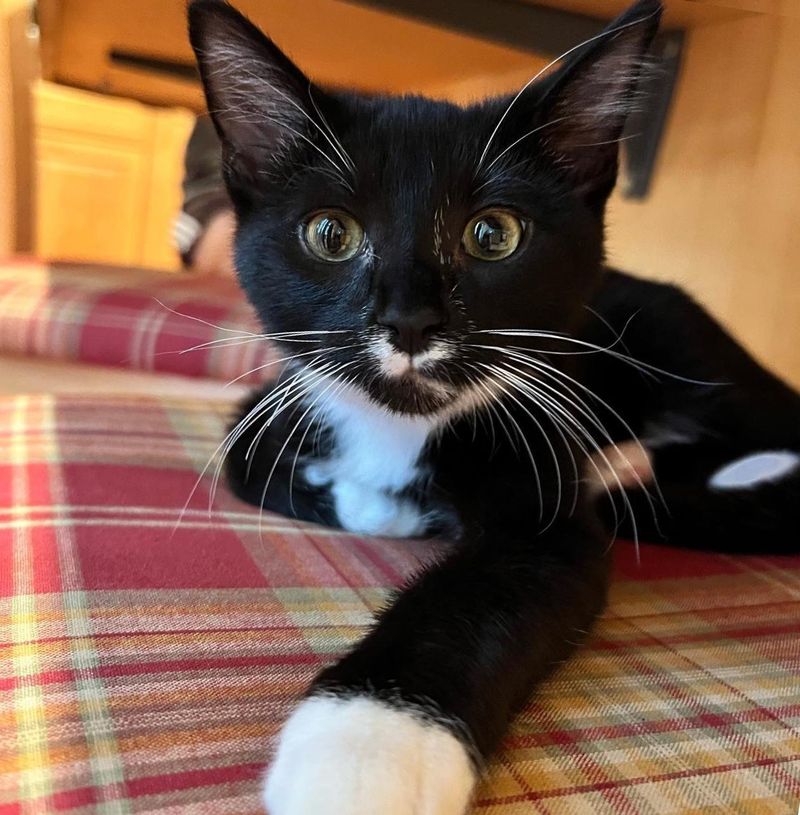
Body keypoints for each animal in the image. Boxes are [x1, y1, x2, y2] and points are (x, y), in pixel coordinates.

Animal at [189, 3, 800, 812]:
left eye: (493, 234)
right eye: (330, 233)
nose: (409, 320)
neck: (403, 427)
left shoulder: (544, 478)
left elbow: (494, 585)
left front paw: (363, 751)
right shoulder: (282, 395)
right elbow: (242, 452)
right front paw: (375, 501)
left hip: (685, 341)